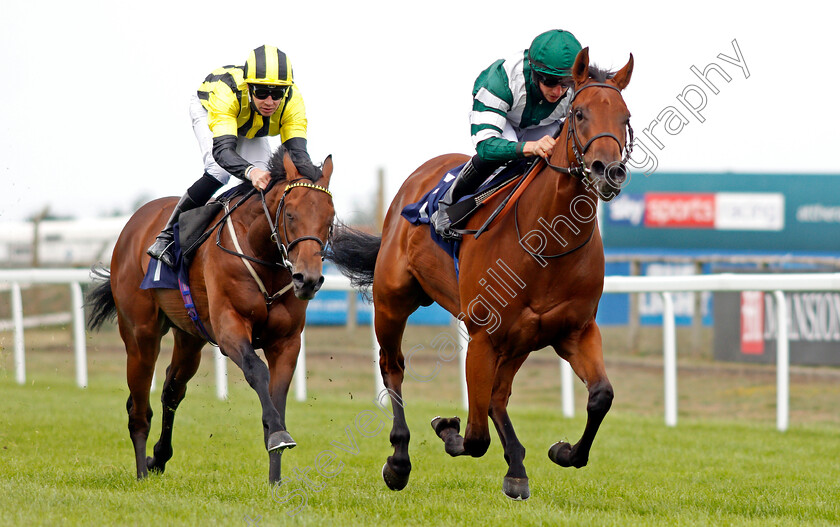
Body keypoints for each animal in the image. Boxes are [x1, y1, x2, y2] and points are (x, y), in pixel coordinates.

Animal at [85, 146, 334, 484]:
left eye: (330, 218)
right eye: (291, 214)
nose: (307, 280)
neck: (262, 255)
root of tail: (135, 222)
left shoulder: (286, 341)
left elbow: (278, 396)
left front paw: (275, 478)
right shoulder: (230, 329)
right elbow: (257, 371)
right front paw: (278, 437)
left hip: (190, 338)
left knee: (171, 390)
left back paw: (158, 458)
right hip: (140, 334)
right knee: (139, 407)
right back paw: (141, 472)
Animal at [324, 48, 632, 500]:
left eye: (625, 117)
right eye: (579, 114)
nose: (607, 171)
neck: (547, 243)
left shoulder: (574, 330)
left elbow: (601, 396)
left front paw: (563, 451)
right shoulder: (483, 336)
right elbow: (473, 436)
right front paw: (444, 427)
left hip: (519, 341)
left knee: (499, 397)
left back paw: (517, 466)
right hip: (393, 300)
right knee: (393, 366)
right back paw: (399, 460)